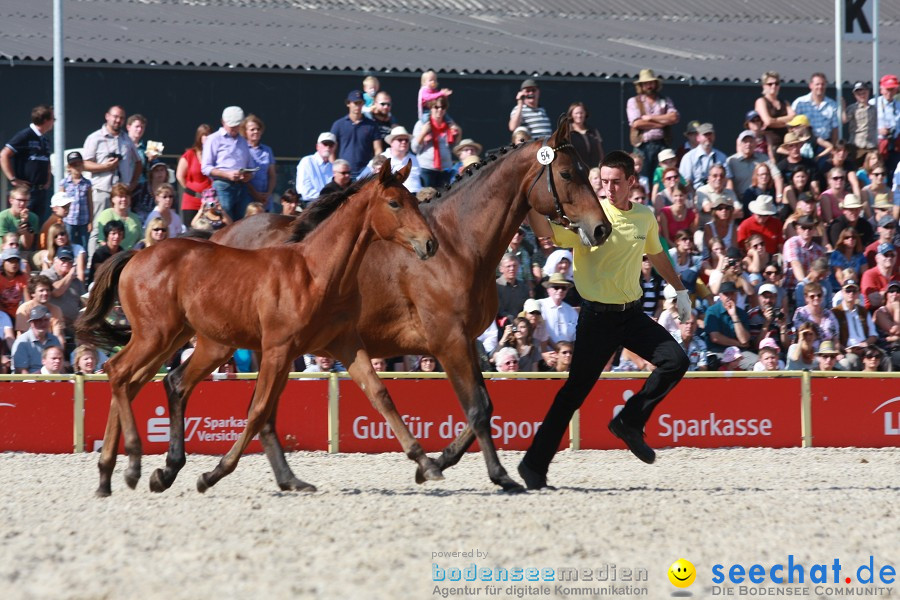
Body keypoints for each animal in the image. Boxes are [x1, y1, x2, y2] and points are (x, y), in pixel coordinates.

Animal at [76, 163, 440, 496]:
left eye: (413, 199)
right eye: (394, 203)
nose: (430, 244)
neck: (317, 273)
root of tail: (137, 255)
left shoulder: (344, 345)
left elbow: (380, 394)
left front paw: (426, 462)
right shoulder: (278, 349)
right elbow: (258, 411)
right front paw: (211, 475)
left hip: (179, 338)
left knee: (145, 381)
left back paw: (115, 476)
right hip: (157, 335)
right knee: (119, 372)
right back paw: (133, 465)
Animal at [207, 117, 612, 492]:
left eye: (586, 171)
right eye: (566, 173)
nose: (602, 229)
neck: (457, 245)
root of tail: (221, 235)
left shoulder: (464, 341)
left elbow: (484, 406)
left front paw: (438, 461)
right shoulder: (448, 343)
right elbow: (478, 409)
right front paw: (497, 474)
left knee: (264, 413)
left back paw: (287, 478)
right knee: (257, 408)